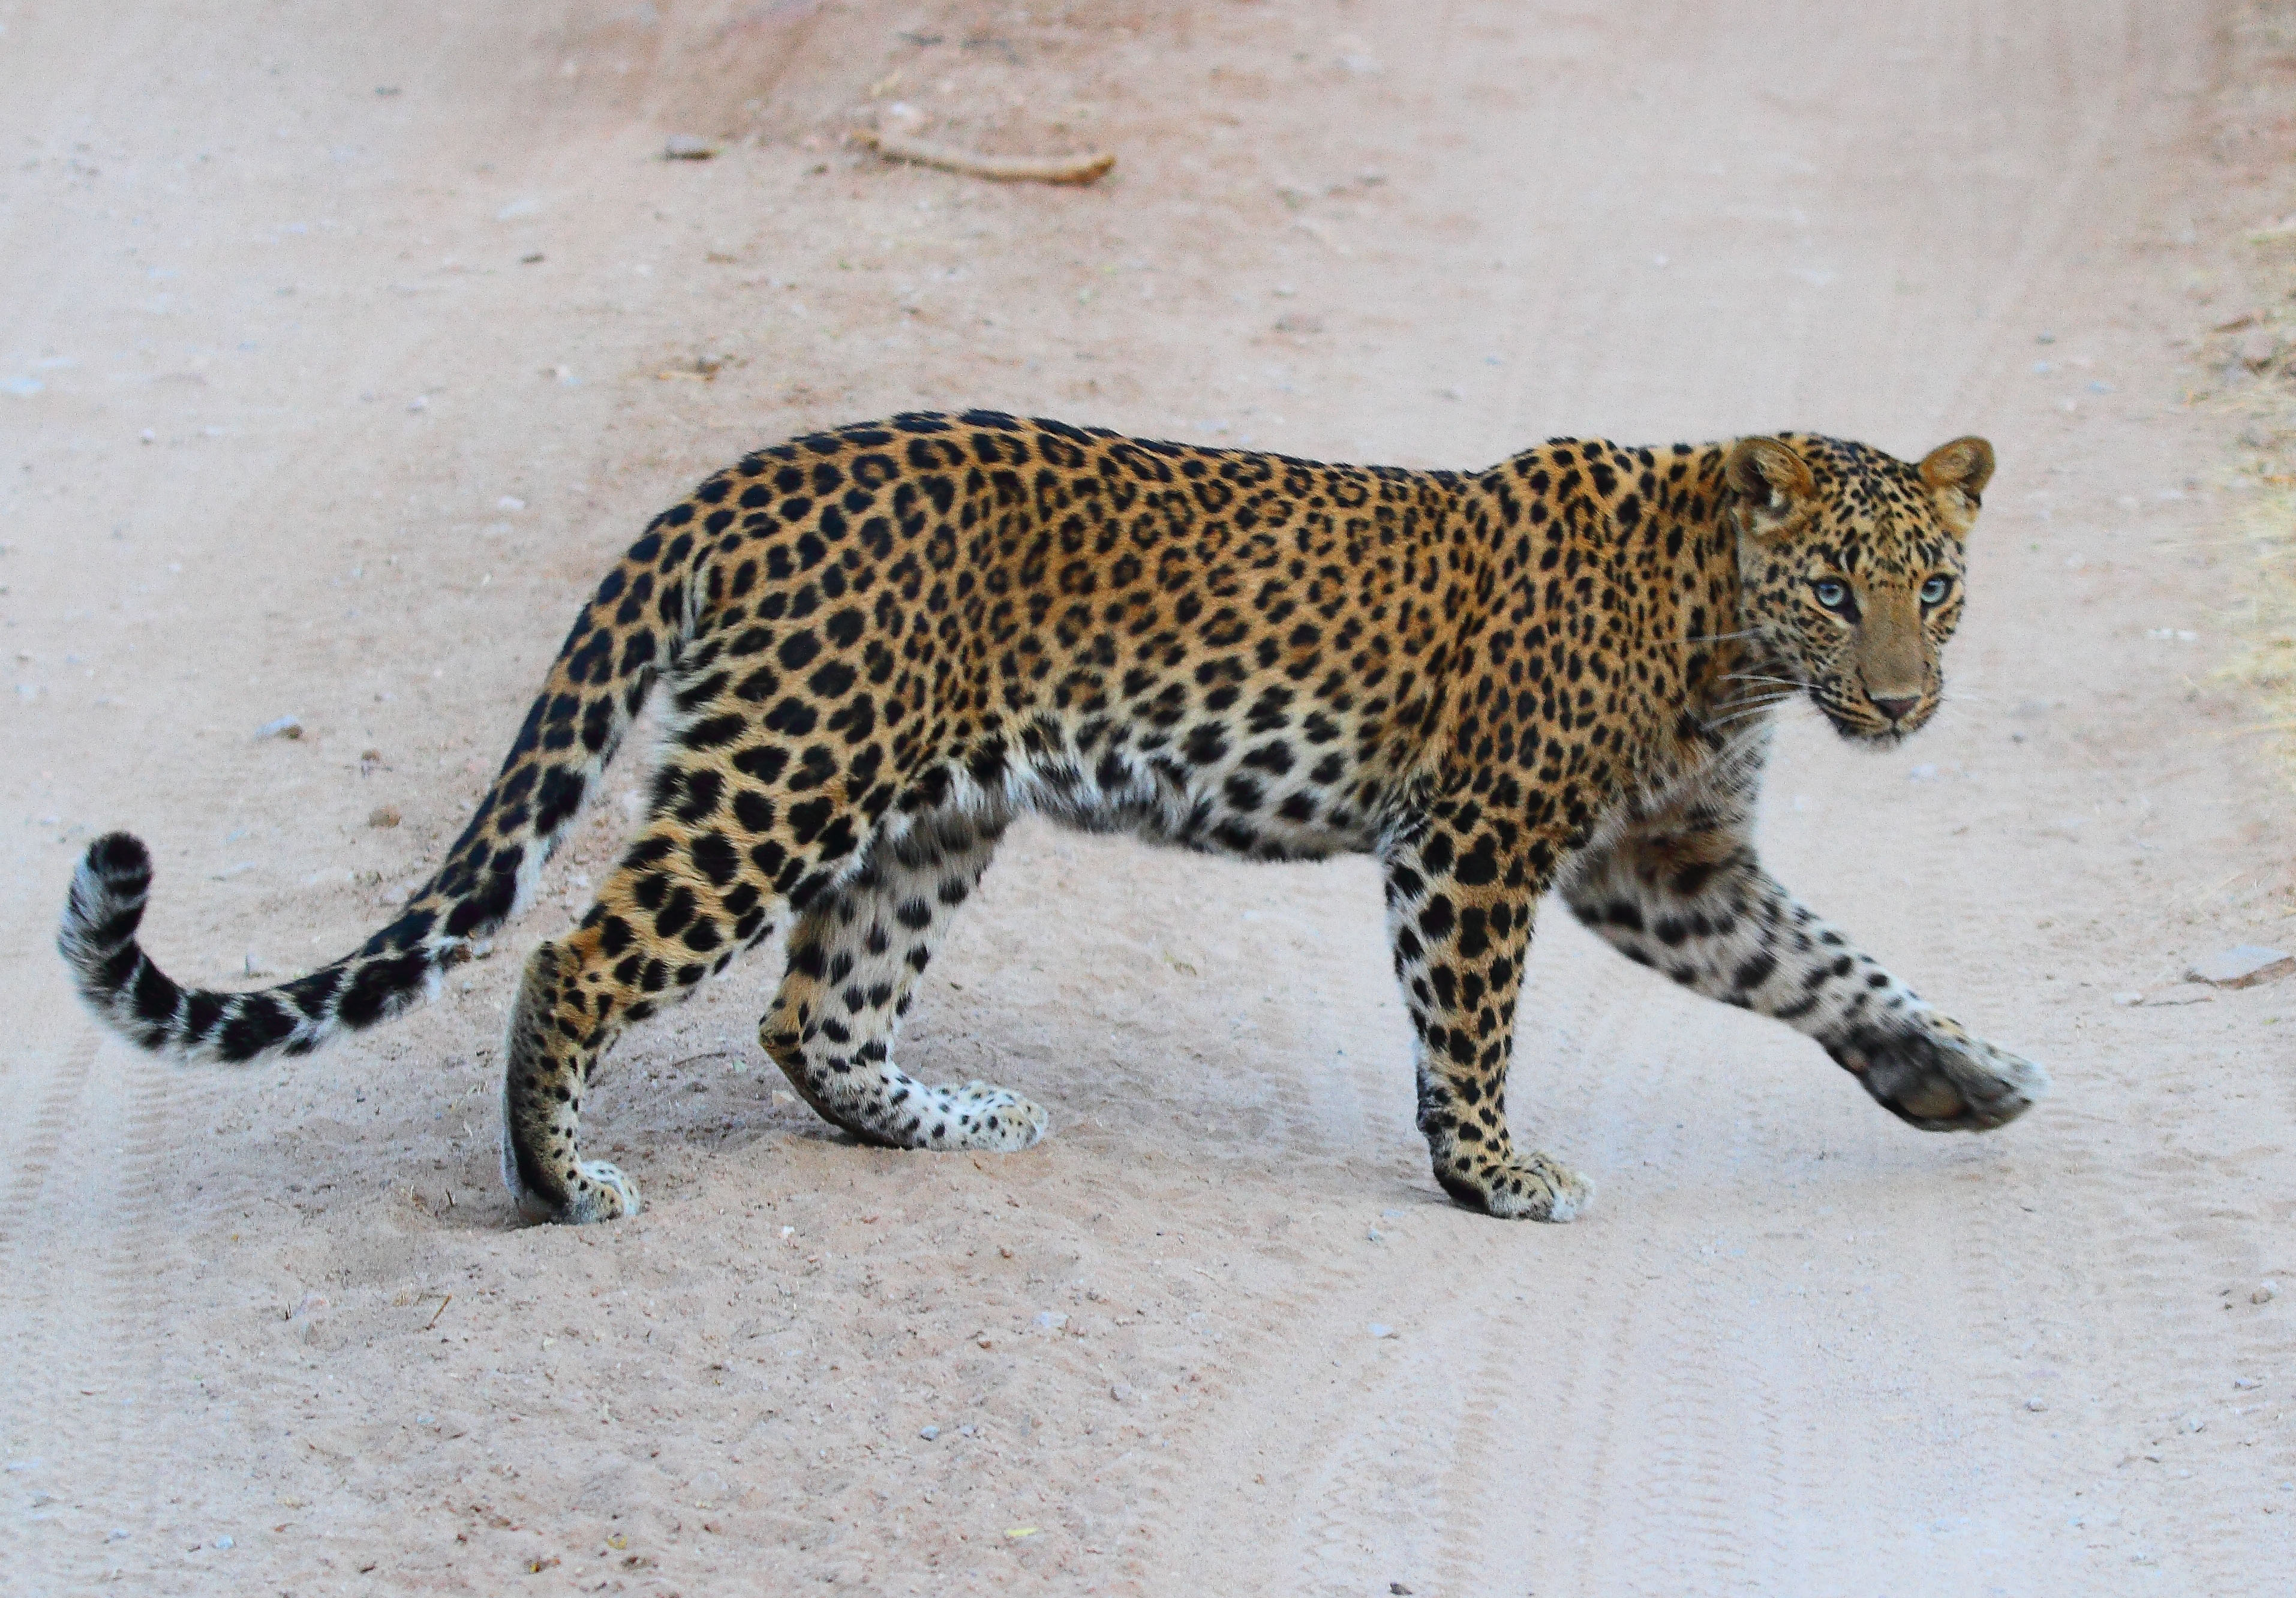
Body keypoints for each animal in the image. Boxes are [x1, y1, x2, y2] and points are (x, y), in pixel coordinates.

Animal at [62, 411, 2057, 1221]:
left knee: (816, 1015)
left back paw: (951, 1120)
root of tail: (736, 481)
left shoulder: (1666, 864)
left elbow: (1825, 966)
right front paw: (1495, 1175)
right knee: (581, 957)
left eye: (1939, 589)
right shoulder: (1481, 848)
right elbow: (1473, 1033)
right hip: (788, 773)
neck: (1724, 640)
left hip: (929, 809)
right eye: (1832, 590)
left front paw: (1957, 1075)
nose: (1900, 703)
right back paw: (562, 1186)